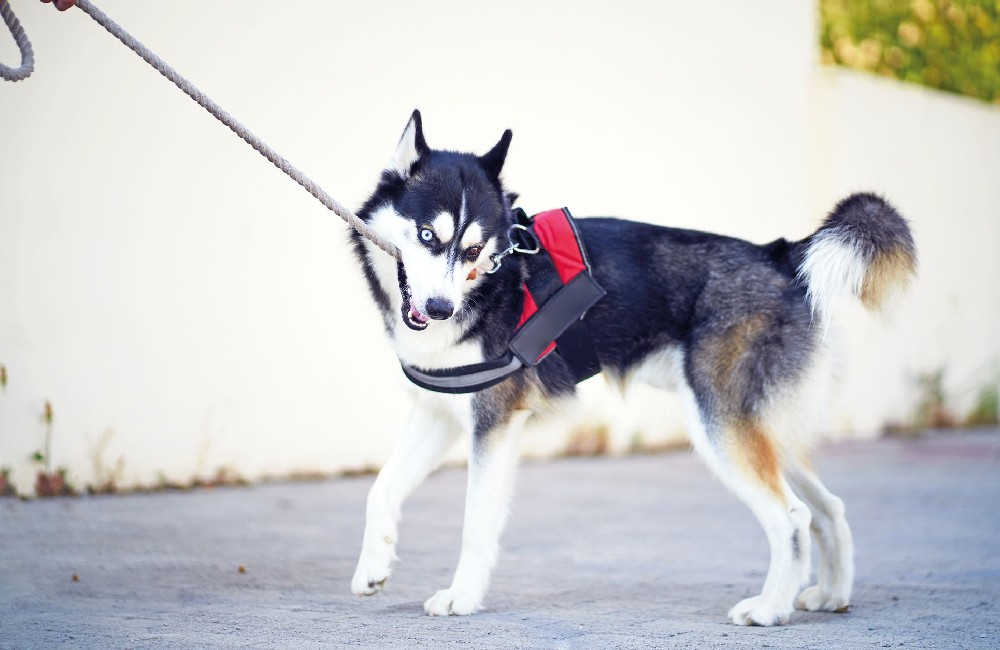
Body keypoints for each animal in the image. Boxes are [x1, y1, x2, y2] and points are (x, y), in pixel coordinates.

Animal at [350, 110, 916, 624]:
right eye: (427, 235)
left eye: (474, 249)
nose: (441, 308)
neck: (491, 283)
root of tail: (780, 256)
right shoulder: (440, 416)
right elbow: (382, 488)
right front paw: (373, 567)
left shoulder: (494, 424)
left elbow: (475, 523)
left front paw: (462, 598)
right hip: (765, 427)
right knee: (829, 508)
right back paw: (832, 594)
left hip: (720, 426)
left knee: (793, 517)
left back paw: (769, 609)